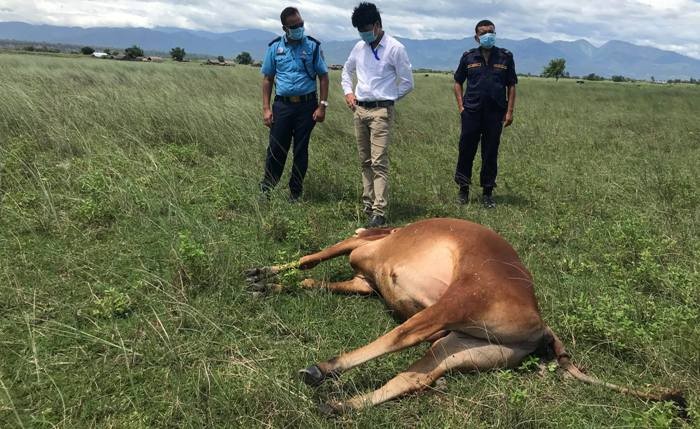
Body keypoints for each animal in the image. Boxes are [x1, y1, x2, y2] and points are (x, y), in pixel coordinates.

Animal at [245, 217, 684, 412]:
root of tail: (542, 324)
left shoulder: (357, 249)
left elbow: (309, 260)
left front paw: (262, 274)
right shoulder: (362, 284)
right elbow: (310, 281)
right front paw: (265, 284)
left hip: (455, 303)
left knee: (403, 335)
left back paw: (322, 370)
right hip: (461, 346)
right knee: (415, 376)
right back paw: (339, 407)